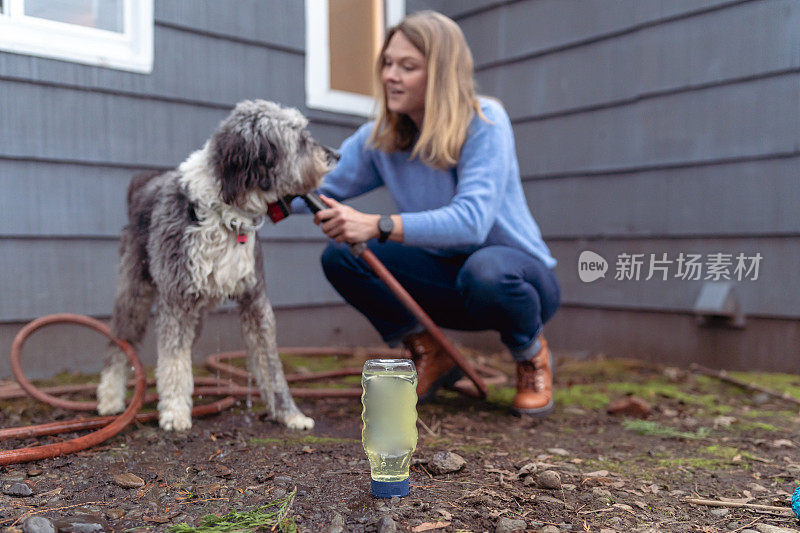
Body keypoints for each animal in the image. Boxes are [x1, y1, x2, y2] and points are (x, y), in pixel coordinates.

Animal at [97, 101, 334, 432]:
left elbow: (270, 363)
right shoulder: (177, 301)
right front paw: (174, 413)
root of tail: (140, 185)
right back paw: (110, 398)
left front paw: (289, 413)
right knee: (119, 340)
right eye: (299, 139)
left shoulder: (255, 300)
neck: (226, 214)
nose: (336, 155)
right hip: (135, 291)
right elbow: (173, 360)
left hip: (196, 314)